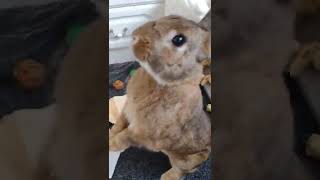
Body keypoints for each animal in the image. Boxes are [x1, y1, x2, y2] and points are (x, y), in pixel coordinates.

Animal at [109, 15, 211, 180]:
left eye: (179, 39)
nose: (135, 36)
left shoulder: (142, 133)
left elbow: (123, 137)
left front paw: (110, 145)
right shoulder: (127, 110)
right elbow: (118, 125)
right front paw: (109, 135)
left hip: (185, 159)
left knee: (182, 171)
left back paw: (167, 177)